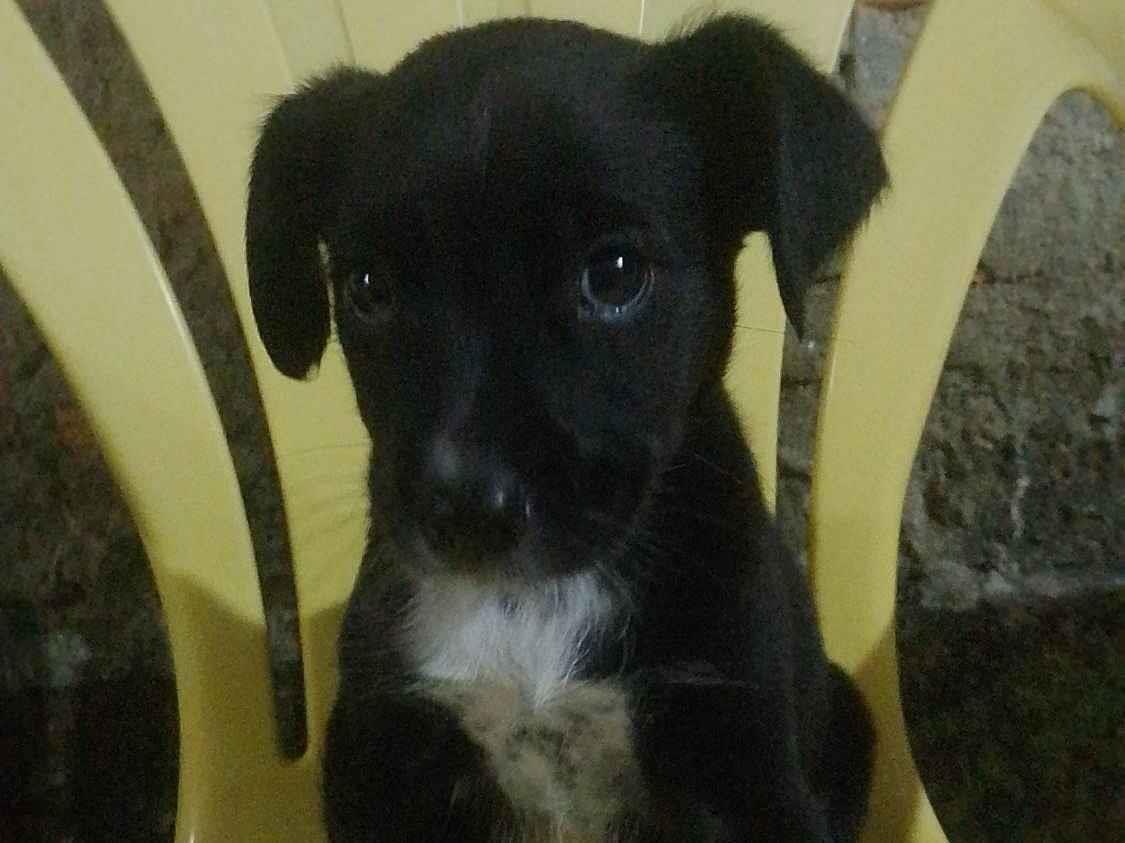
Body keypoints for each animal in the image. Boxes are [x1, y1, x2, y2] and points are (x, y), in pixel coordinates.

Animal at [246, 13, 887, 842]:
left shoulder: (743, 761)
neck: (534, 606)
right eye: (366, 288)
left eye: (614, 274)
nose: (465, 511)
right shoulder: (382, 759)